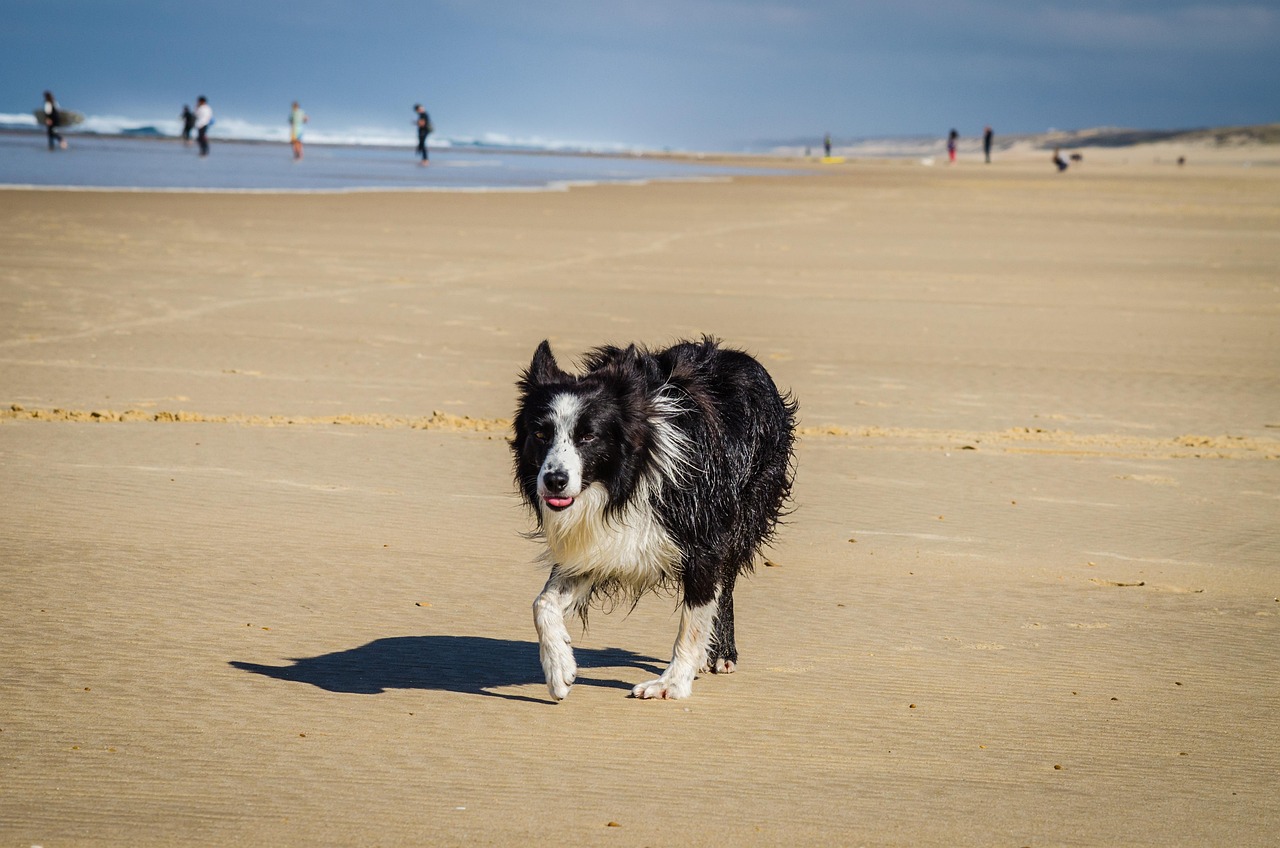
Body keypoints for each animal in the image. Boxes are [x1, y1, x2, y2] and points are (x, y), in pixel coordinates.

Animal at [506, 338, 788, 701]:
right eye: (540, 434)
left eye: (588, 436)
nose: (555, 480)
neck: (631, 473)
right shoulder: (598, 543)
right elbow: (542, 602)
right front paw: (559, 669)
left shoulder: (704, 541)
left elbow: (692, 622)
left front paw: (672, 683)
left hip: (745, 510)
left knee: (725, 585)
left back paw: (722, 653)